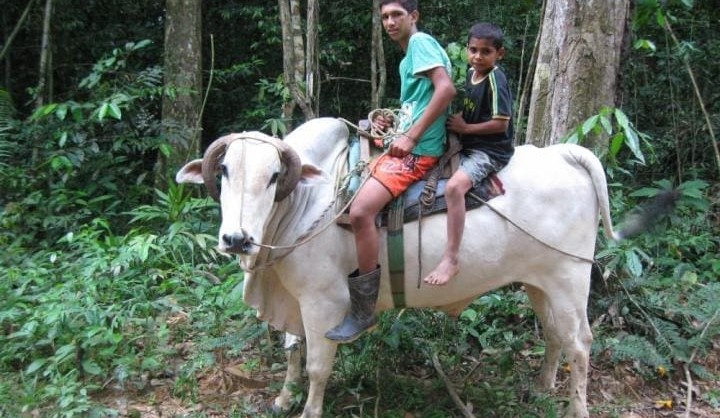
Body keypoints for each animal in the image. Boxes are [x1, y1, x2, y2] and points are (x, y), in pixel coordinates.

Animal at [175, 117, 637, 418]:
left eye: (274, 176)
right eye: (224, 170)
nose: (237, 239)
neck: (303, 205)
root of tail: (564, 153)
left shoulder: (323, 302)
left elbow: (316, 366)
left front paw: (308, 409)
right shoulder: (295, 298)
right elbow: (292, 351)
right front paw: (284, 399)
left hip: (569, 279)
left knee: (580, 343)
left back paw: (575, 409)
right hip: (539, 282)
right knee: (555, 333)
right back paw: (541, 388)